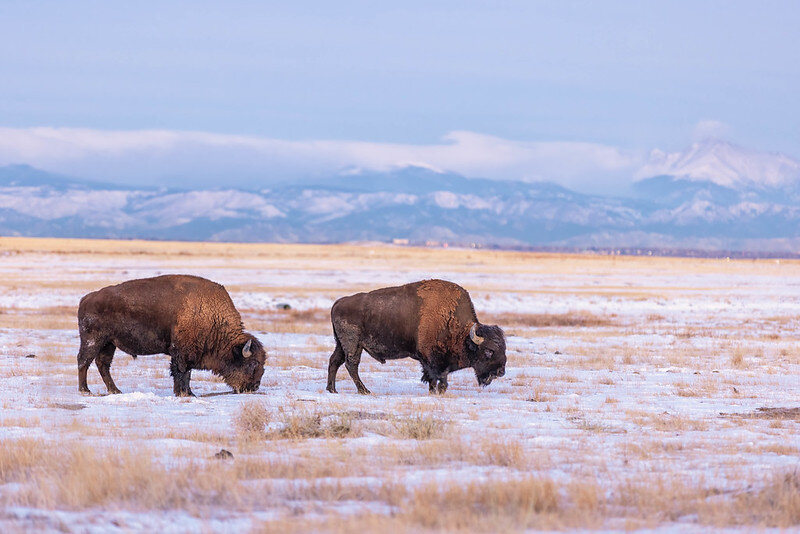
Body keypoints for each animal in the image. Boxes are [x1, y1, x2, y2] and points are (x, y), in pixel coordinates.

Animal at [76, 276, 268, 398]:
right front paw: (183, 393)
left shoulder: (189, 353)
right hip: (93, 340)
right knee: (84, 361)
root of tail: (86, 298)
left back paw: (115, 390)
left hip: (109, 343)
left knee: (103, 365)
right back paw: (85, 390)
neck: (212, 317)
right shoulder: (182, 353)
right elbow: (181, 372)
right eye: (253, 364)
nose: (254, 386)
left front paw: (189, 393)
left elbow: (187, 373)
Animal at [326, 278, 506, 396]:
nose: (500, 371)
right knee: (351, 365)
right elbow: (437, 376)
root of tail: (338, 302)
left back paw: (332, 389)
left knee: (335, 361)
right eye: (489, 351)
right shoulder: (430, 358)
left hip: (341, 344)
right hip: (353, 344)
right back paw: (364, 391)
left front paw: (435, 391)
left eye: (504, 349)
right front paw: (438, 391)